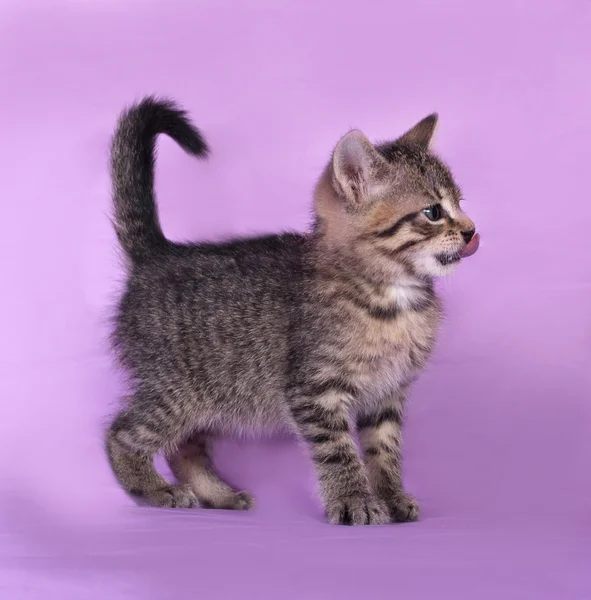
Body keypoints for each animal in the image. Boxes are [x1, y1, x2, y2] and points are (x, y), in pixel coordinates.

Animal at [104, 96, 478, 524]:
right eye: (433, 212)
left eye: (461, 204)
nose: (471, 231)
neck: (393, 297)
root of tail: (157, 254)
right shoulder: (315, 389)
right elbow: (338, 451)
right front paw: (355, 500)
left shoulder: (387, 395)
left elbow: (385, 451)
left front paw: (392, 496)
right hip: (180, 389)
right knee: (121, 433)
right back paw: (155, 488)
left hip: (220, 394)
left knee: (185, 448)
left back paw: (219, 495)